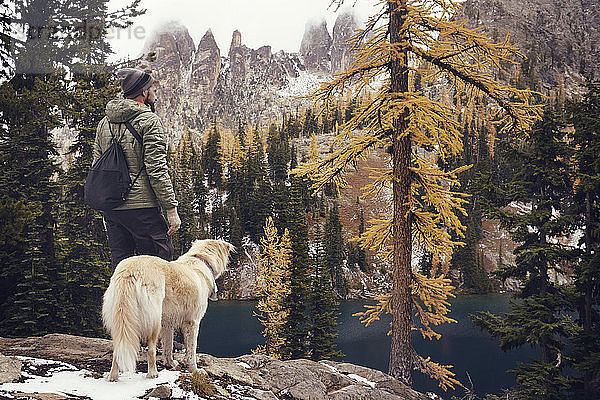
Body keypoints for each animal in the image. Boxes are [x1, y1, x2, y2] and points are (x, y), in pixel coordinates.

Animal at [103, 239, 234, 380]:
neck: (200, 259)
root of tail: (130, 271)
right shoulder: (192, 322)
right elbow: (191, 350)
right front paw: (195, 370)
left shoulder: (167, 323)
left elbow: (168, 346)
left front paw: (170, 363)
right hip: (154, 320)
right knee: (151, 350)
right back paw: (153, 373)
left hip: (121, 319)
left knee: (118, 348)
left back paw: (113, 377)